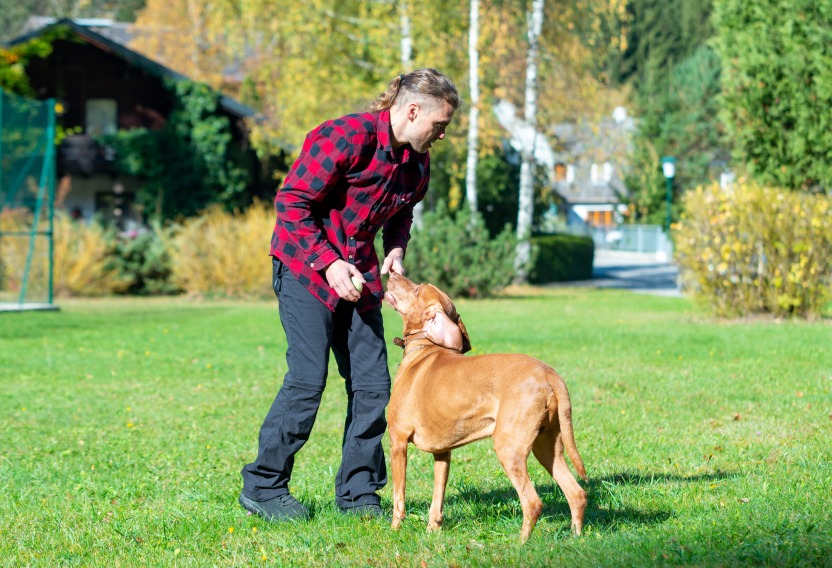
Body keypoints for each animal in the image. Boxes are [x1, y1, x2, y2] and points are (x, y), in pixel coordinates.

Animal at [386, 272, 588, 544]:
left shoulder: (397, 441)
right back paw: (575, 538)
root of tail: (549, 373)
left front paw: (395, 530)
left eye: (417, 289)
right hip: (547, 446)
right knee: (576, 493)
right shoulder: (443, 452)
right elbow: (437, 500)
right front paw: (432, 531)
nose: (392, 273)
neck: (425, 347)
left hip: (509, 447)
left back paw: (520, 544)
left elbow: (399, 496)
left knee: (533, 502)